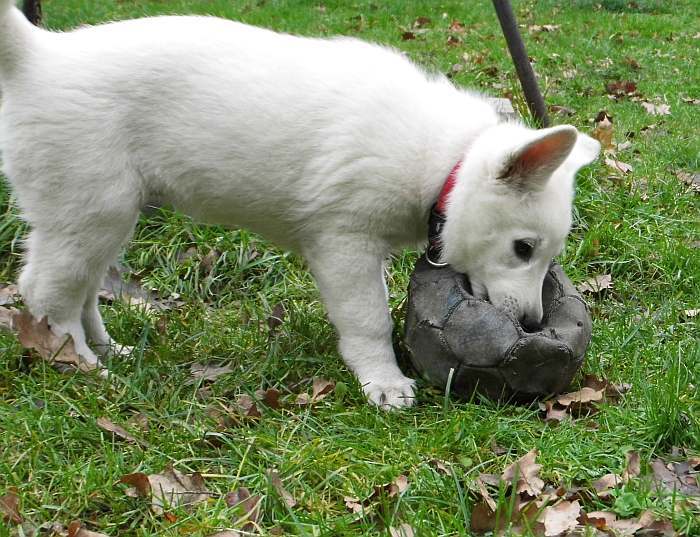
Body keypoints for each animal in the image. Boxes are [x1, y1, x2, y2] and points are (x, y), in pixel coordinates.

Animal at [0, 2, 600, 406]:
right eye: (523, 249)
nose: (533, 324)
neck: (444, 161)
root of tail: (40, 56)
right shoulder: (344, 244)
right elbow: (368, 318)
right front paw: (384, 382)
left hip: (105, 215)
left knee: (83, 290)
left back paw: (110, 351)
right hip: (90, 209)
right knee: (46, 293)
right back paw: (82, 368)